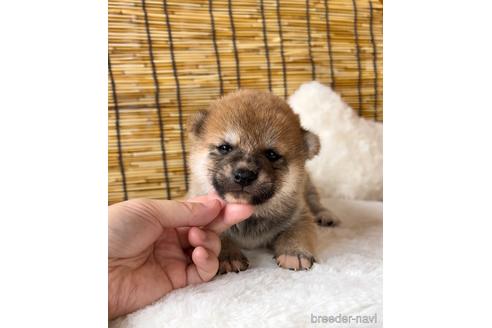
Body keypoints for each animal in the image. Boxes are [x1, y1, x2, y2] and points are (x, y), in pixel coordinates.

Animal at [185, 88, 338, 272]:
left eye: (271, 154)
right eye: (225, 147)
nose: (244, 175)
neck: (252, 216)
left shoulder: (300, 215)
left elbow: (297, 232)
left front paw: (294, 253)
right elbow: (219, 235)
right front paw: (228, 255)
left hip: (308, 187)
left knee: (315, 202)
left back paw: (326, 215)